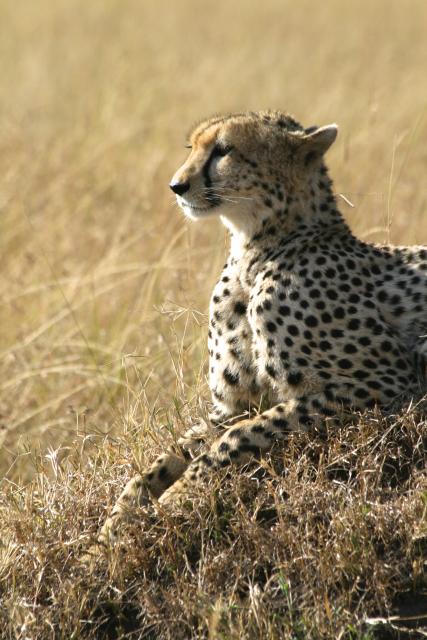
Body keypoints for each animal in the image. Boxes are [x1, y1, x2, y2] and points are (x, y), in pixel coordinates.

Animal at [96, 110, 427, 548]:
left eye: (223, 150)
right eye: (192, 147)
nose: (176, 185)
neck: (255, 254)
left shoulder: (389, 384)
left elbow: (238, 436)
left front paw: (175, 498)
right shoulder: (232, 405)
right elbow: (169, 453)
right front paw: (114, 524)